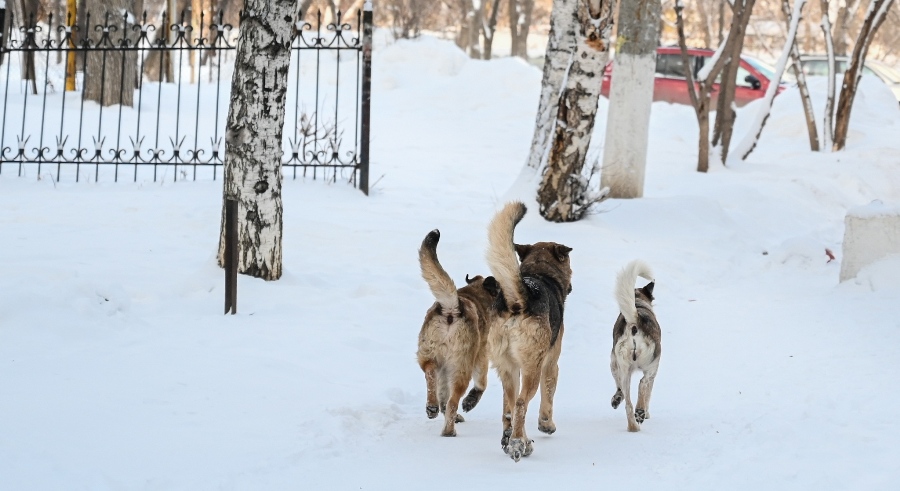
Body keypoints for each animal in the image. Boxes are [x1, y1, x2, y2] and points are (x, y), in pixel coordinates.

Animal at [416, 231, 500, 438]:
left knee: (431, 374)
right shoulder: (482, 354)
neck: (474, 293)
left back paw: (432, 407)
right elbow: (482, 383)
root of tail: (452, 308)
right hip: (461, 366)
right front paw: (470, 402)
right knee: (453, 401)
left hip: (429, 354)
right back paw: (449, 430)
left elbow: (443, 395)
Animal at [488, 202, 572, 464]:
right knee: (521, 403)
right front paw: (546, 424)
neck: (540, 274)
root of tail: (517, 300)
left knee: (510, 408)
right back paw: (518, 443)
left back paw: (513, 441)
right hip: (532, 368)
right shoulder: (551, 364)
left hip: (508, 368)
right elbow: (548, 397)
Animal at [608, 260, 656, 432]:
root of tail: (635, 322)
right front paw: (646, 413)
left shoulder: (614, 364)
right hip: (651, 366)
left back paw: (633, 426)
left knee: (628, 404)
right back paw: (640, 412)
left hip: (623, 368)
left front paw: (616, 398)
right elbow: (648, 392)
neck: (638, 302)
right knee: (643, 384)